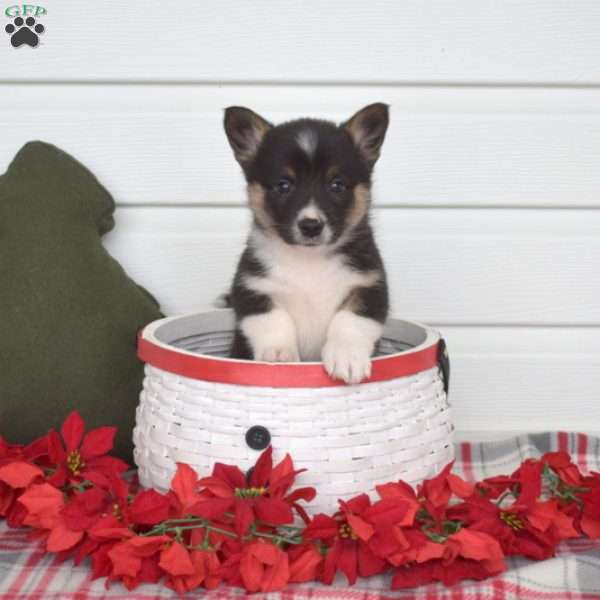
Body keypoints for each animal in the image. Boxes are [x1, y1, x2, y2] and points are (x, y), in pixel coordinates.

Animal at [224, 103, 390, 384]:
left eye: (337, 185)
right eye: (283, 185)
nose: (311, 226)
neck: (309, 261)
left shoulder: (370, 287)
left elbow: (350, 320)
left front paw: (347, 357)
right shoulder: (252, 288)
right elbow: (274, 319)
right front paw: (279, 354)